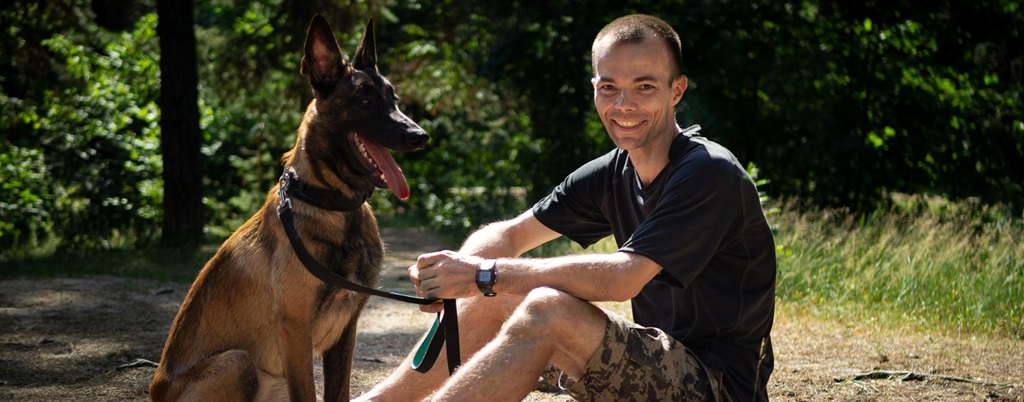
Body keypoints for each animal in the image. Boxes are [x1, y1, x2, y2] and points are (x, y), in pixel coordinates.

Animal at [148, 14, 428, 398]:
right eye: (364, 101)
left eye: (393, 98)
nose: (420, 136)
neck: (334, 207)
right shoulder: (295, 331)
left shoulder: (347, 328)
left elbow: (338, 391)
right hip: (237, 362)